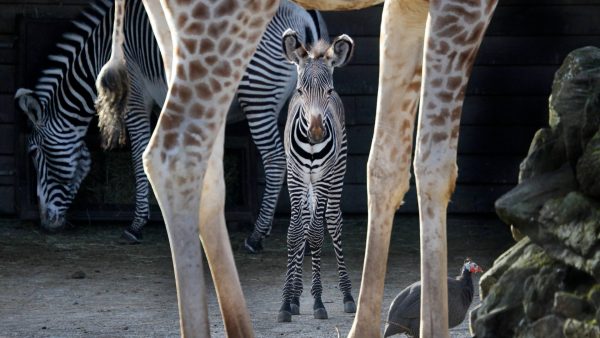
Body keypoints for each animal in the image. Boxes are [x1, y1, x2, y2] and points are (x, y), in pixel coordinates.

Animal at [14, 0, 326, 246]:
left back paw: (257, 236)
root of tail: (305, 15)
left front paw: (137, 225)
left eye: (33, 153)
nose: (46, 224)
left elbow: (139, 157)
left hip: (258, 94)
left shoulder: (136, 97)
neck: (100, 53)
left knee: (275, 160)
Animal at [278, 29, 356, 322]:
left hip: (337, 173)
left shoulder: (322, 179)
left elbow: (314, 234)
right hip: (303, 183)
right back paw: (295, 295)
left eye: (328, 91)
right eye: (300, 91)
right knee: (302, 223)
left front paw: (318, 300)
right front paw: (287, 301)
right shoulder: (295, 177)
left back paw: (347, 295)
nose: (316, 134)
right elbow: (295, 233)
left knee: (332, 222)